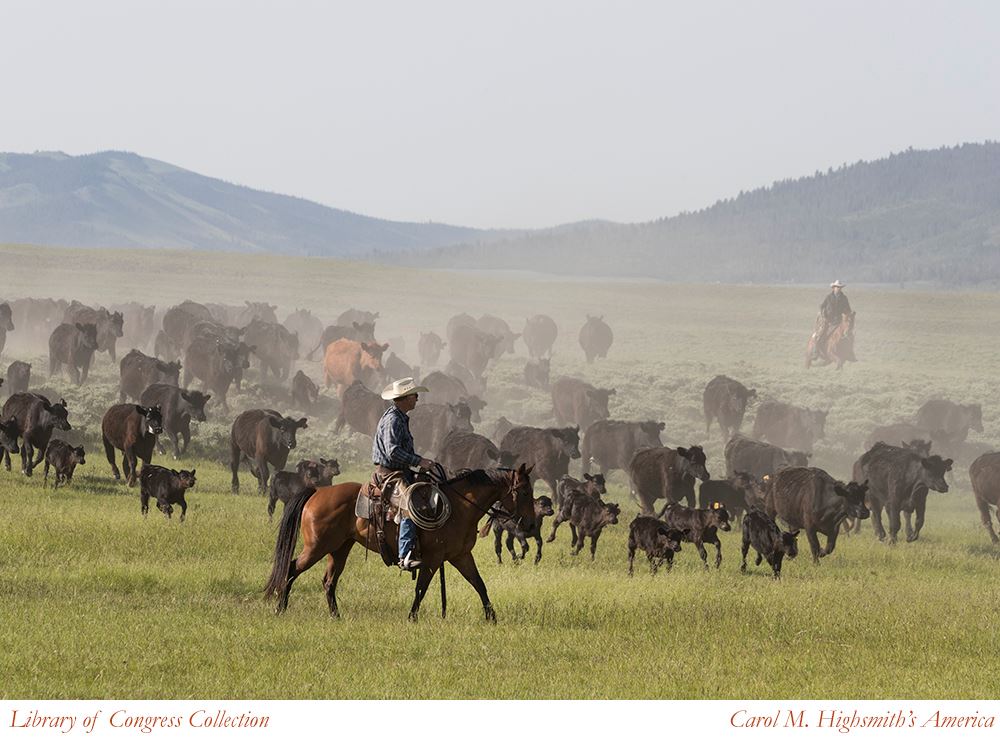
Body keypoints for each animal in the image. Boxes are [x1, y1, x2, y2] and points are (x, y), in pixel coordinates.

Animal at [262, 464, 536, 620]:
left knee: (329, 581)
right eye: (524, 491)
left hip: (340, 548)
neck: (459, 507)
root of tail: (317, 491)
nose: (531, 525)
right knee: (291, 567)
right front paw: (412, 618)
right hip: (317, 547)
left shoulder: (460, 556)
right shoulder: (432, 559)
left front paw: (492, 618)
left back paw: (336, 617)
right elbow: (421, 590)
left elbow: (480, 585)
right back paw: (280, 608)